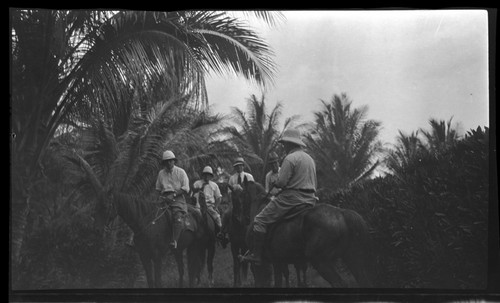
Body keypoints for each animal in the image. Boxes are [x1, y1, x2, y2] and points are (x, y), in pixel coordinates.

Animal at [236, 182, 374, 288]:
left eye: (241, 195)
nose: (241, 219)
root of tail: (342, 213)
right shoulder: (285, 262)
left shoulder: (273, 262)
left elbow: (274, 281)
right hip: (352, 257)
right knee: (363, 281)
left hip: (320, 261)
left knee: (339, 283)